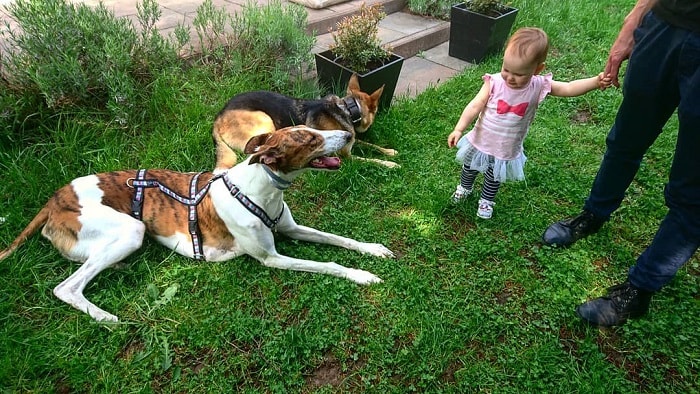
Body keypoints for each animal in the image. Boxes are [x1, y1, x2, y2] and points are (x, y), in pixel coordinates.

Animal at [0, 127, 394, 324]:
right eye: (311, 138)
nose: (349, 135)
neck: (260, 188)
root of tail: (54, 200)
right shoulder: (272, 258)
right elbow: (329, 262)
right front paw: (362, 276)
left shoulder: (291, 230)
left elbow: (340, 240)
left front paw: (373, 250)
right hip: (130, 231)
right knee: (66, 288)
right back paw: (105, 316)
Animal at [212, 74, 400, 171]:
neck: (348, 108)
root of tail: (218, 117)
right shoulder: (345, 155)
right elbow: (370, 159)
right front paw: (390, 164)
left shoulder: (349, 137)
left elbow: (369, 145)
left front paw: (389, 151)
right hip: (264, 119)